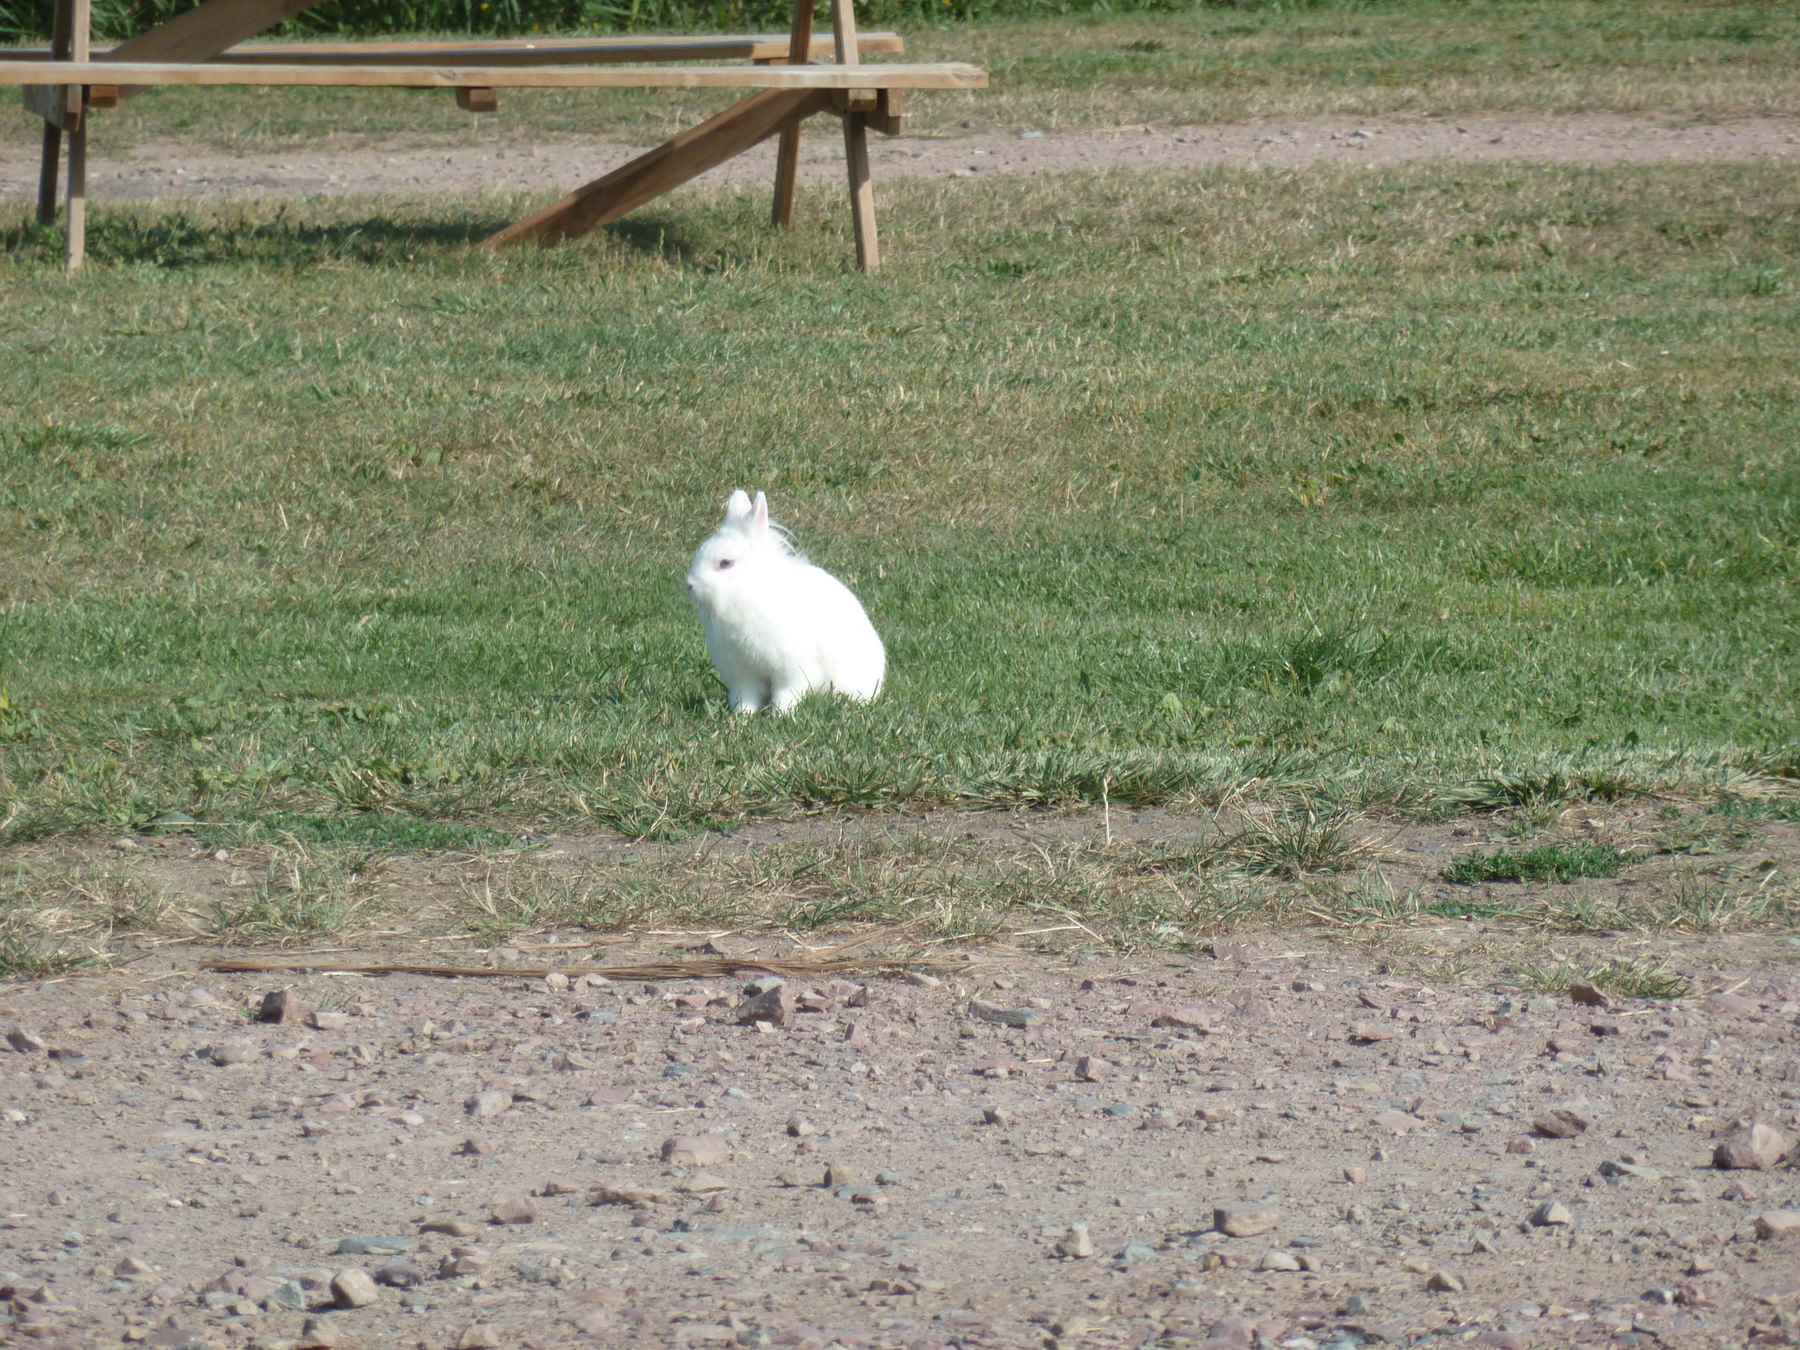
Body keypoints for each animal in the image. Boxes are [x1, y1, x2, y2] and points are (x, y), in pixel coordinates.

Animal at [687, 489, 885, 720]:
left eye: (725, 563)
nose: (690, 585)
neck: (750, 594)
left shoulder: (791, 673)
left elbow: (785, 694)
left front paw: (779, 716)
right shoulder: (743, 675)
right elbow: (745, 697)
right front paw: (742, 716)